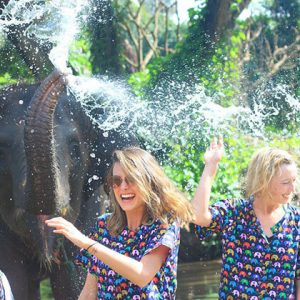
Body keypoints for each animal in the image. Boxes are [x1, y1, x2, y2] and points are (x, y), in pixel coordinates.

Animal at [0, 69, 136, 298]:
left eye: (74, 149)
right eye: (2, 149)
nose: (63, 72)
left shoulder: (94, 206)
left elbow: (74, 285)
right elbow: (14, 279)